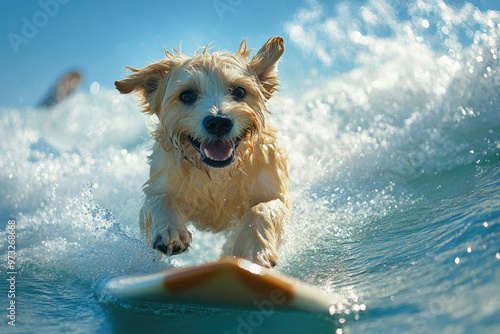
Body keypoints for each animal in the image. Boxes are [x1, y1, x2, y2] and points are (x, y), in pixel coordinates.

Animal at [114, 36, 290, 268]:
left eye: (239, 91)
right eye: (187, 95)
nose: (218, 122)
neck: (216, 174)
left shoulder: (275, 189)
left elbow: (263, 208)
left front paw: (255, 248)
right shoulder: (160, 184)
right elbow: (160, 199)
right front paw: (169, 230)